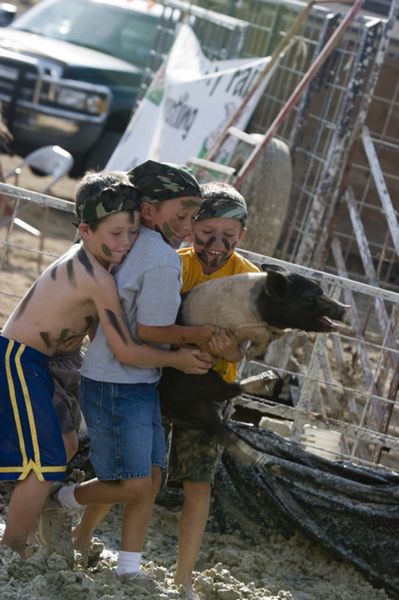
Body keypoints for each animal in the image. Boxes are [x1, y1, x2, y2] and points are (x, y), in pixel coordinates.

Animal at [159, 268, 346, 464]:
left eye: (322, 291)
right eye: (308, 297)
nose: (343, 309)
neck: (258, 303)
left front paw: (251, 353)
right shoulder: (233, 322)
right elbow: (261, 335)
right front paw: (251, 354)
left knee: (226, 400)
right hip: (195, 377)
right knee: (228, 392)